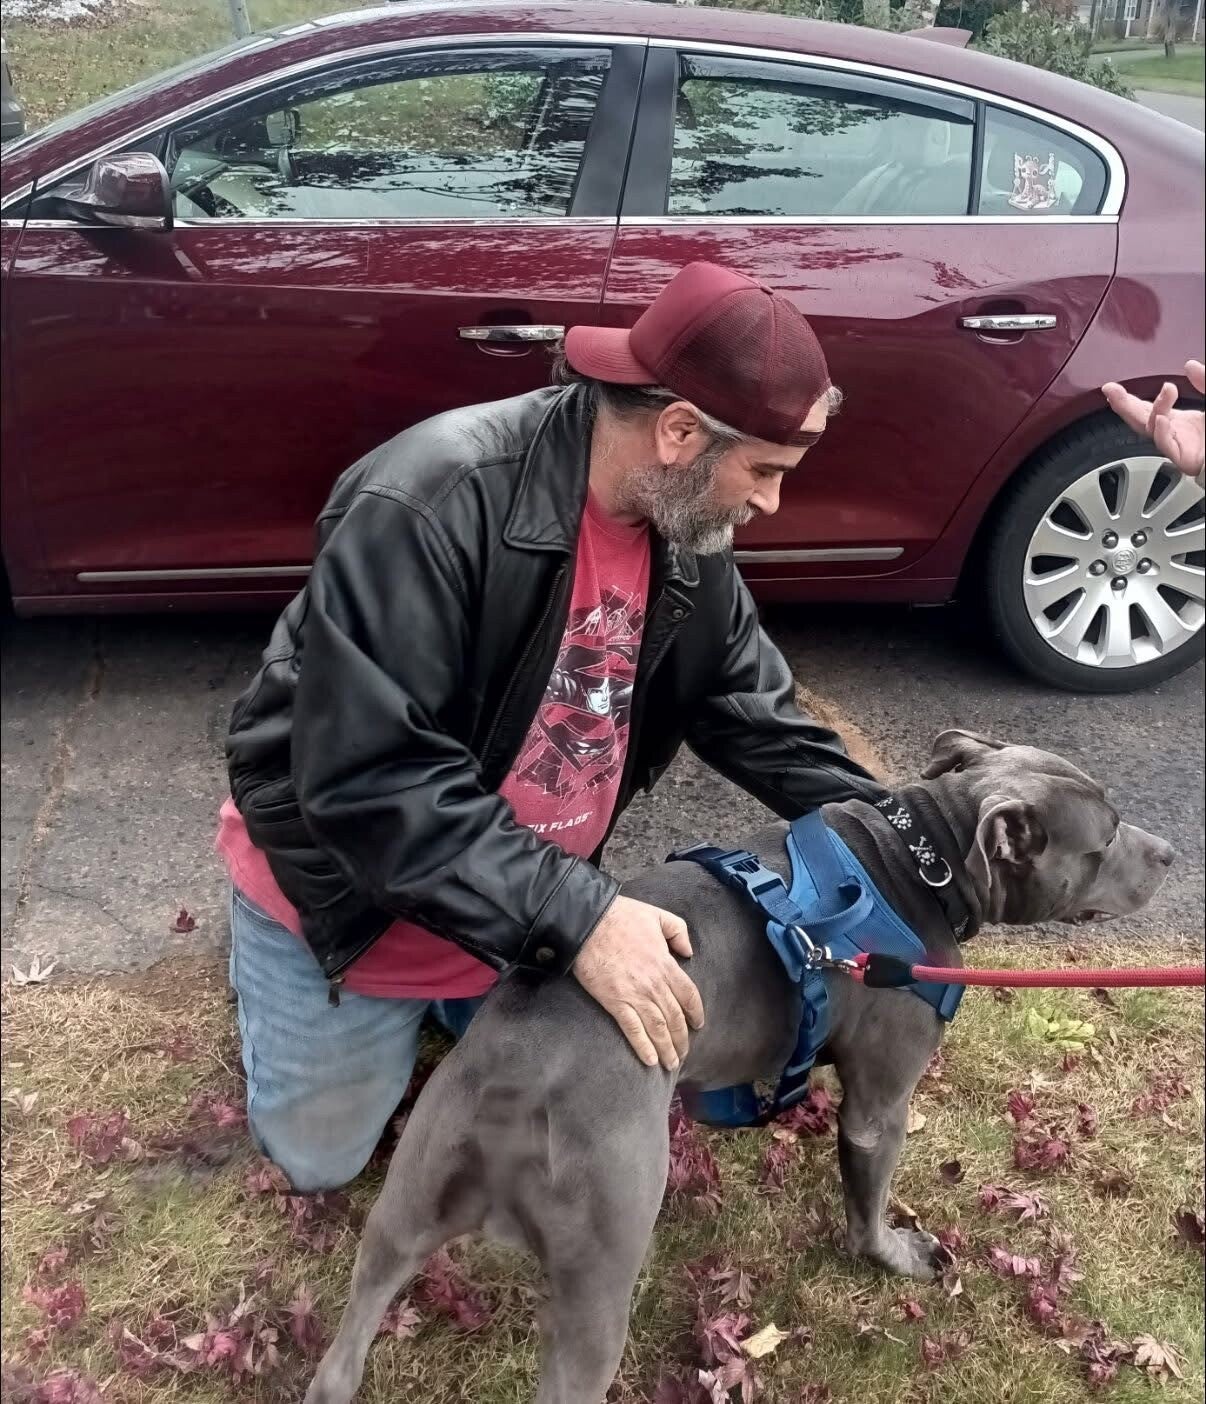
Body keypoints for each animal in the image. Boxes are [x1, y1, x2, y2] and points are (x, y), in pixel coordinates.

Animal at [304, 731, 1175, 1404]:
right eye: (1104, 839)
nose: (1169, 853)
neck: (920, 855)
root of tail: (517, 1079)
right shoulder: (880, 1106)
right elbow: (869, 1205)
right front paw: (897, 1255)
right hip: (598, 1276)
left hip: (403, 1209)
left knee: (343, 1354)